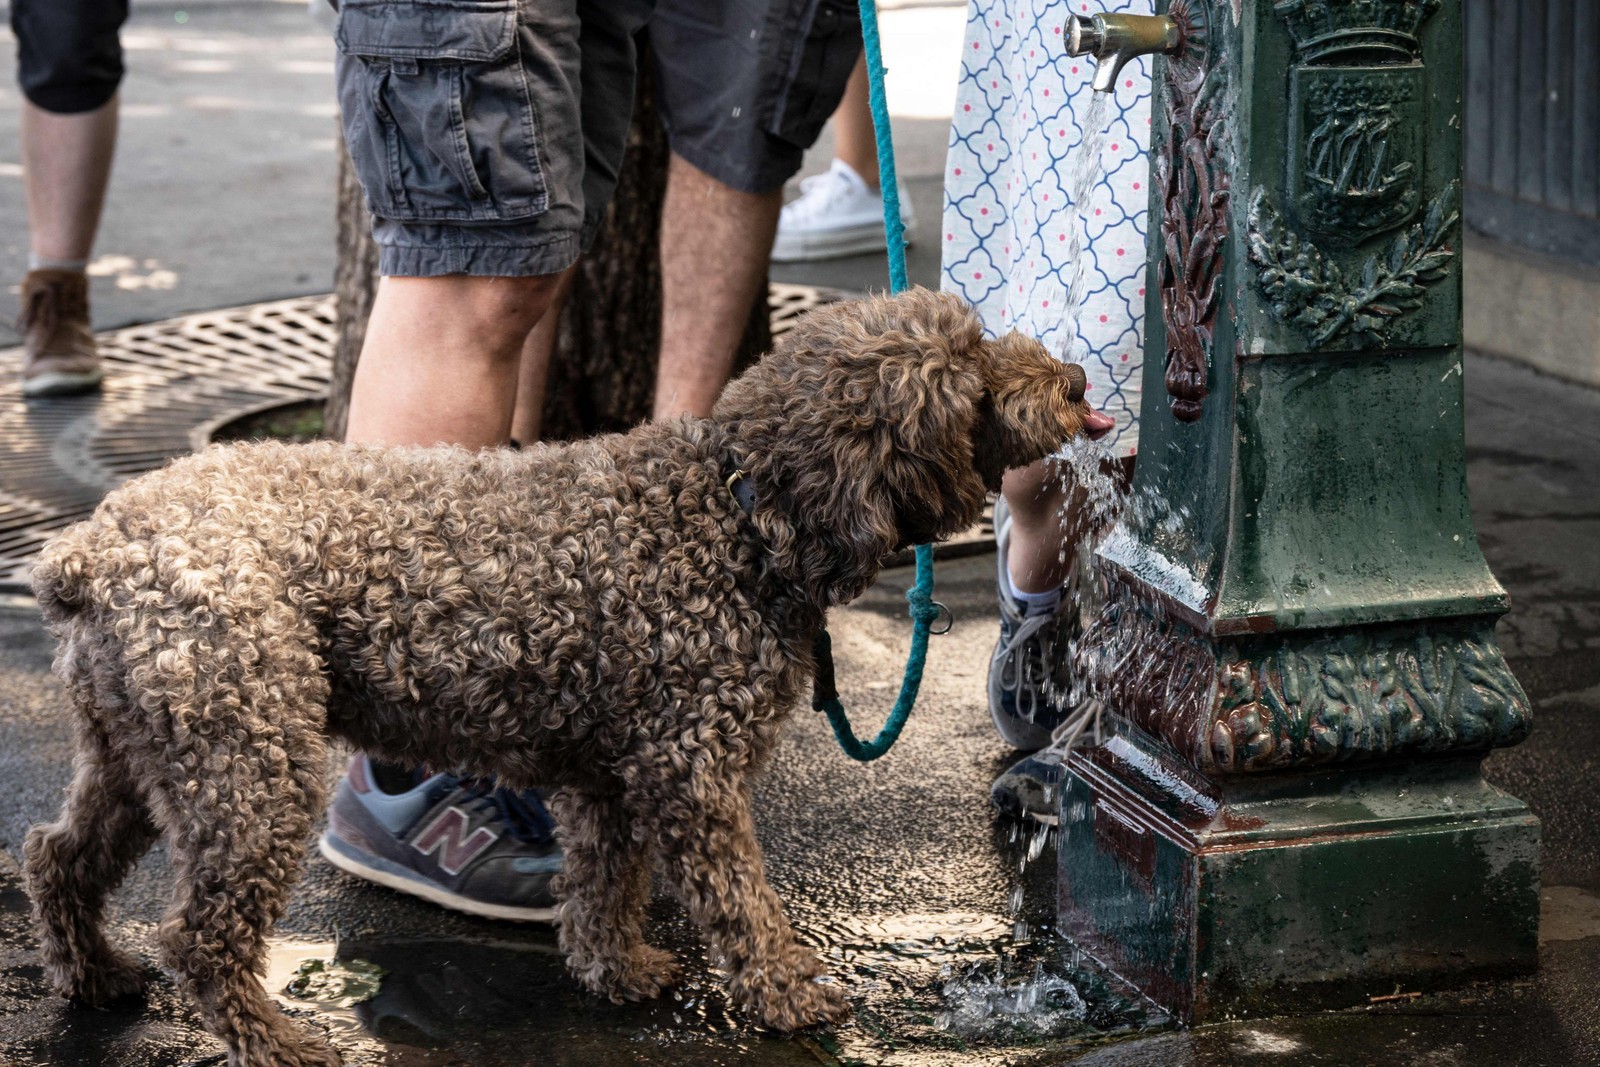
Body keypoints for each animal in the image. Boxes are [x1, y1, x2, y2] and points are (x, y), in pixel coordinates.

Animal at [21, 286, 1100, 1067]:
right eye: (967, 380)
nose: (1077, 375)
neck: (739, 508)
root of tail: (90, 549)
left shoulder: (608, 777)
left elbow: (605, 885)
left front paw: (615, 968)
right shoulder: (691, 773)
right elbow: (739, 898)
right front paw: (786, 990)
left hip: (145, 746)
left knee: (55, 854)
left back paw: (95, 971)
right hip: (251, 763)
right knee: (201, 932)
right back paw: (274, 1040)